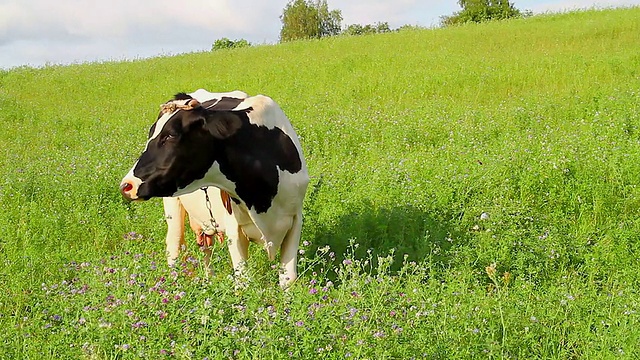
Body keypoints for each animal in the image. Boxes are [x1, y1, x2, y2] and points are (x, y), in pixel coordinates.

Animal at [121, 88, 312, 288]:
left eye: (171, 135)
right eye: (151, 133)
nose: (126, 185)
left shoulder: (295, 219)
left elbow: (288, 279)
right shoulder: (234, 228)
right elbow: (243, 282)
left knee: (206, 247)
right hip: (173, 207)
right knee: (174, 245)